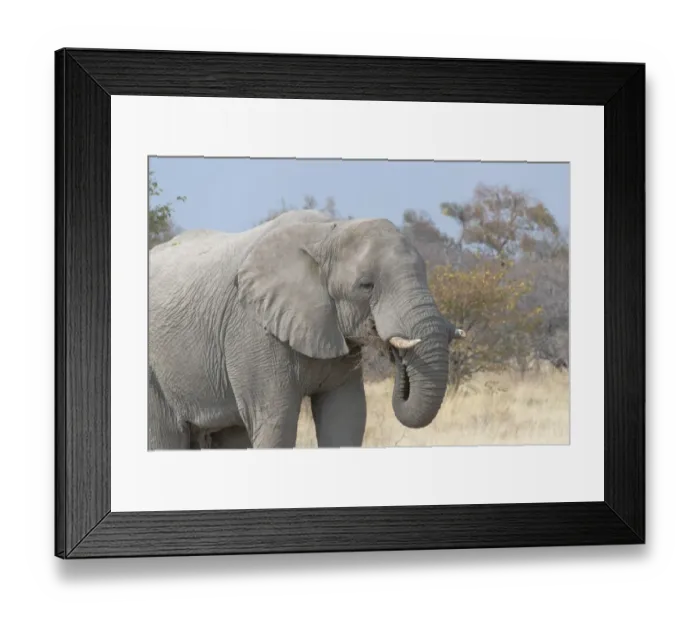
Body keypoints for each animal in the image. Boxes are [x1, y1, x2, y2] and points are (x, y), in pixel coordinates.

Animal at [147, 209, 466, 450]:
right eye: (366, 285)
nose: (396, 354)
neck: (329, 232)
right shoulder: (254, 330)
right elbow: (277, 422)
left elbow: (346, 417)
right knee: (166, 436)